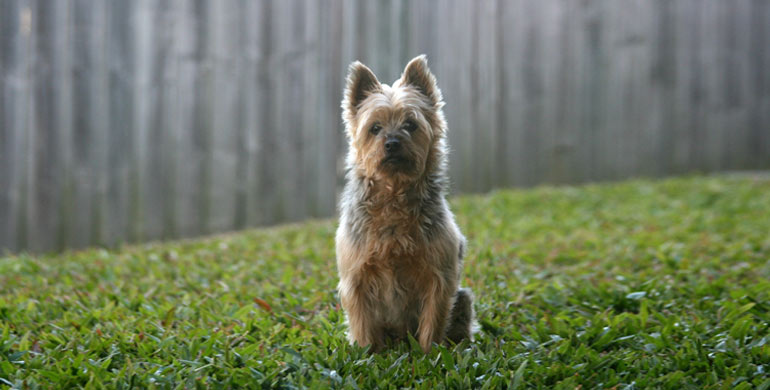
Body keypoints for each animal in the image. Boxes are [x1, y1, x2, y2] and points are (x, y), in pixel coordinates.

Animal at [334, 55, 474, 354]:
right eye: (374, 128)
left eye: (411, 125)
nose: (392, 143)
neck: (393, 194)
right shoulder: (356, 278)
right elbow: (362, 322)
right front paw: (367, 354)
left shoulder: (439, 277)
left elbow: (433, 318)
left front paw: (429, 353)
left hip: (464, 298)